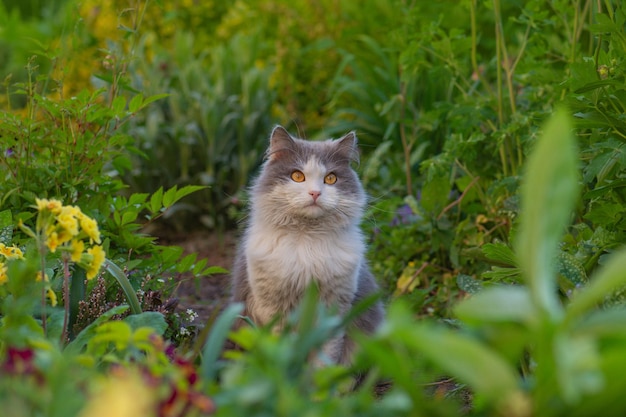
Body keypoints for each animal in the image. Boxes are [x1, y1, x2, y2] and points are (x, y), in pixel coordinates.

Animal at [230, 124, 382, 364]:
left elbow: (325, 357)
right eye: (297, 176)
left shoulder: (334, 307)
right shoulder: (272, 307)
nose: (315, 193)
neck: (307, 240)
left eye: (331, 178)